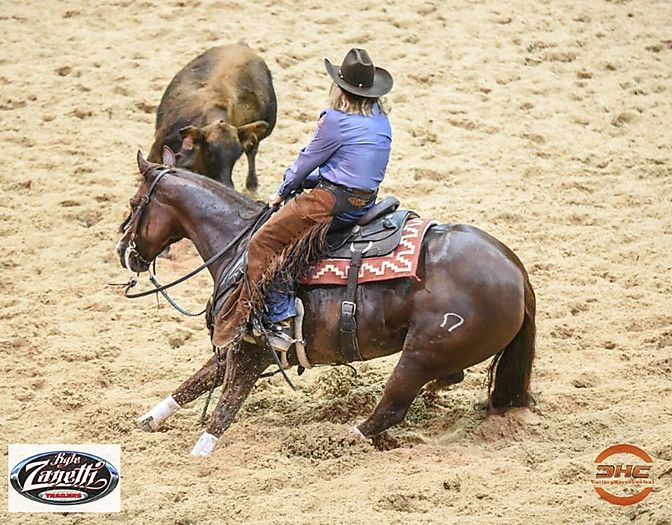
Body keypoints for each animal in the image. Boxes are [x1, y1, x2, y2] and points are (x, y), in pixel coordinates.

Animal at [116, 151, 536, 456]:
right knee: (448, 379)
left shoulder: (252, 352)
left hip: (419, 356)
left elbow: (223, 409)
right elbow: (193, 383)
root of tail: (517, 272)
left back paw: (338, 439)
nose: (124, 252)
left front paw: (199, 455)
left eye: (135, 203)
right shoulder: (235, 346)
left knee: (391, 408)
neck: (237, 246)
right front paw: (147, 420)